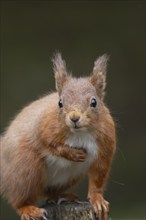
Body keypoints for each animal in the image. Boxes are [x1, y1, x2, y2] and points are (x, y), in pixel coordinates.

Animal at [0, 53, 116, 220]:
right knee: (20, 199)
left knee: (47, 191)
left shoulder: (105, 144)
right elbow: (48, 144)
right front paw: (73, 153)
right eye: (60, 103)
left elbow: (98, 178)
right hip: (26, 167)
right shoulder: (44, 127)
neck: (80, 133)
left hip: (68, 177)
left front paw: (98, 200)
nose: (74, 118)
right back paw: (29, 209)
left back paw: (63, 196)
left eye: (94, 102)